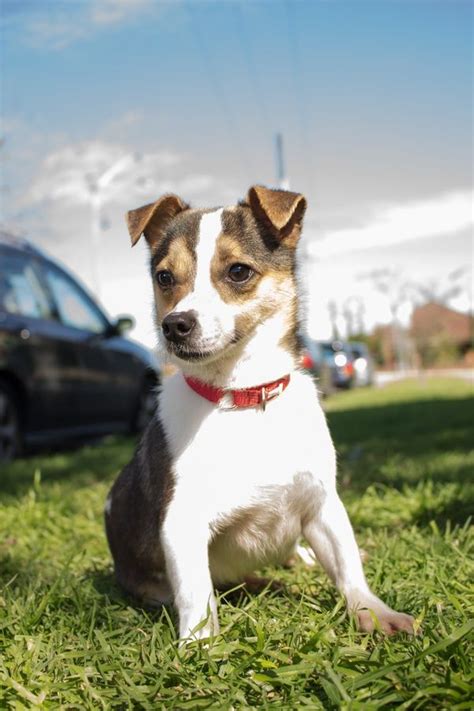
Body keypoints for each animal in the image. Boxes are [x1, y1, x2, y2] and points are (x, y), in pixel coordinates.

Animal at [104, 186, 414, 644]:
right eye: (164, 277)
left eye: (238, 271)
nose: (174, 325)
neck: (243, 397)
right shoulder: (181, 523)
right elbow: (196, 594)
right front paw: (200, 646)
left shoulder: (322, 505)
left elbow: (348, 569)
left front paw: (373, 612)